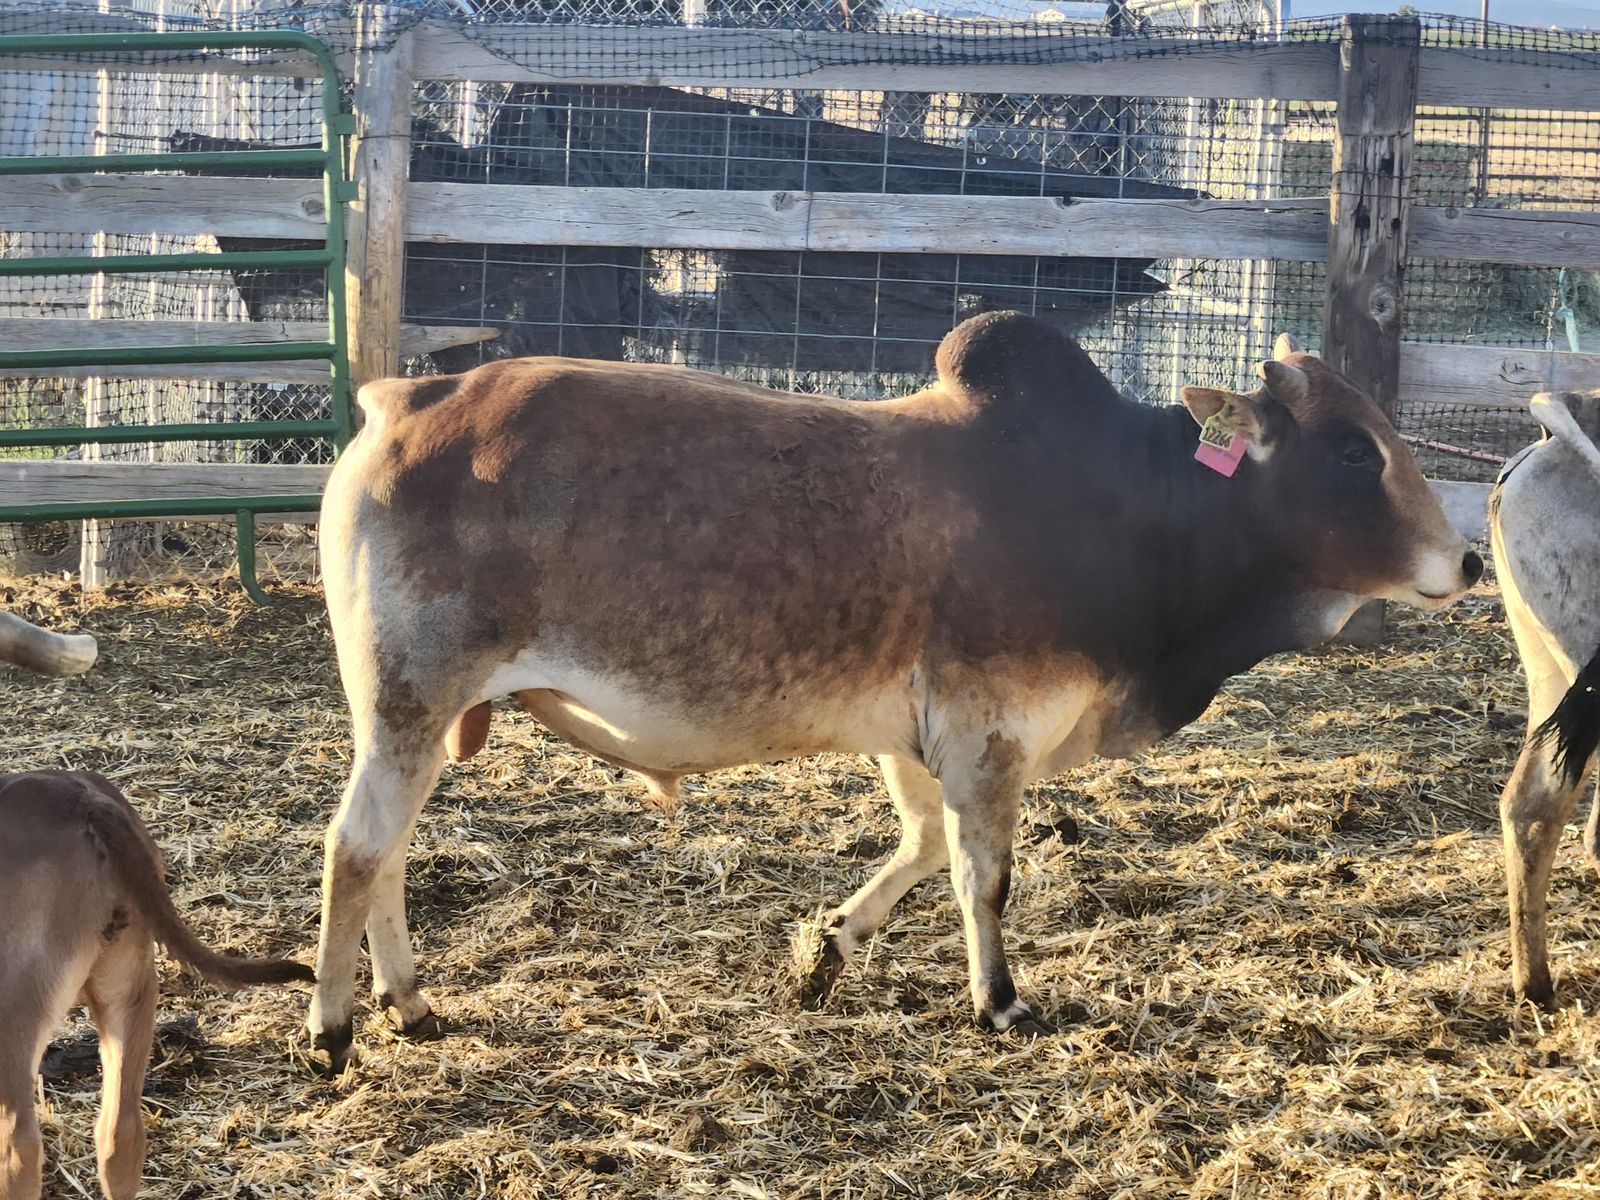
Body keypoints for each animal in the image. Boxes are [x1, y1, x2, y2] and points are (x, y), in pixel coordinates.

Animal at [307, 311, 1481, 1073]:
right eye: (1352, 452)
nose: (1466, 561)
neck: (1129, 509)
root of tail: (402, 397)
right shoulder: (989, 731)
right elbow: (982, 877)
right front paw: (999, 1001)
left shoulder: (910, 736)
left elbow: (916, 851)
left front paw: (824, 948)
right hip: (410, 700)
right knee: (357, 850)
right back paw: (332, 1029)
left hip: (418, 720)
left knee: (392, 858)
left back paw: (410, 1005)